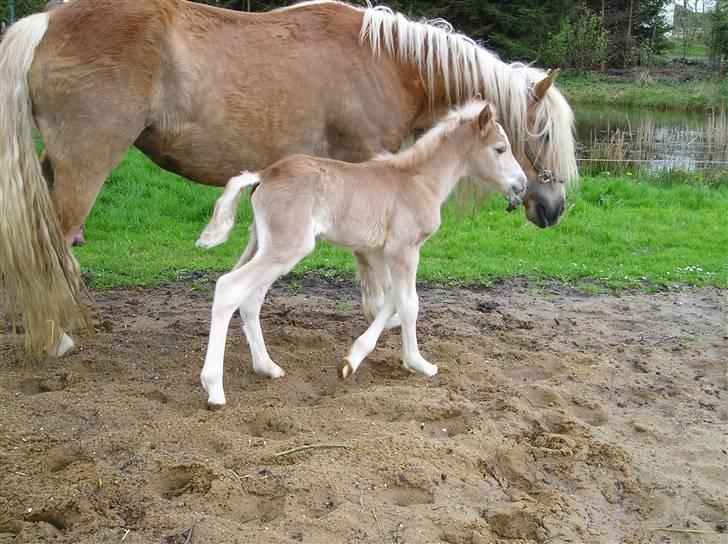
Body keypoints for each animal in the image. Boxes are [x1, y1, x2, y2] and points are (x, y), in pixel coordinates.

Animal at [1, 0, 580, 354]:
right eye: (540, 135)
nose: (553, 208)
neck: (386, 62)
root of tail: (47, 22)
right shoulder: (363, 165)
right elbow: (371, 270)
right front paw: (384, 319)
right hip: (84, 166)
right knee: (53, 245)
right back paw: (58, 337)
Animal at [196, 101, 528, 408]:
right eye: (500, 149)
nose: (522, 184)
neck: (418, 180)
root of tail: (265, 174)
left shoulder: (379, 252)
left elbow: (392, 298)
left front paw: (351, 361)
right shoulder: (404, 249)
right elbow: (410, 304)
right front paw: (418, 363)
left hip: (264, 246)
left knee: (251, 299)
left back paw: (267, 367)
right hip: (287, 248)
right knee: (229, 288)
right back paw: (214, 389)